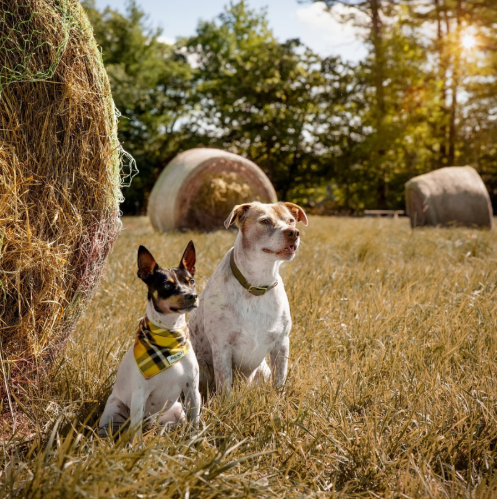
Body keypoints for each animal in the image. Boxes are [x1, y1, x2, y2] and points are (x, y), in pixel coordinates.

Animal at [100, 242, 201, 438]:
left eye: (191, 281)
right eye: (167, 285)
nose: (192, 296)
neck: (170, 336)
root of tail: (151, 421)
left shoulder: (192, 390)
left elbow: (195, 422)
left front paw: (195, 440)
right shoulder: (139, 396)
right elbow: (136, 433)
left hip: (177, 410)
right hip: (114, 410)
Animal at [188, 202, 306, 394]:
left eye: (291, 220)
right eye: (265, 221)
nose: (294, 233)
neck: (257, 285)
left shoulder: (281, 343)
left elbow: (279, 379)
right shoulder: (222, 347)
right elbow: (224, 385)